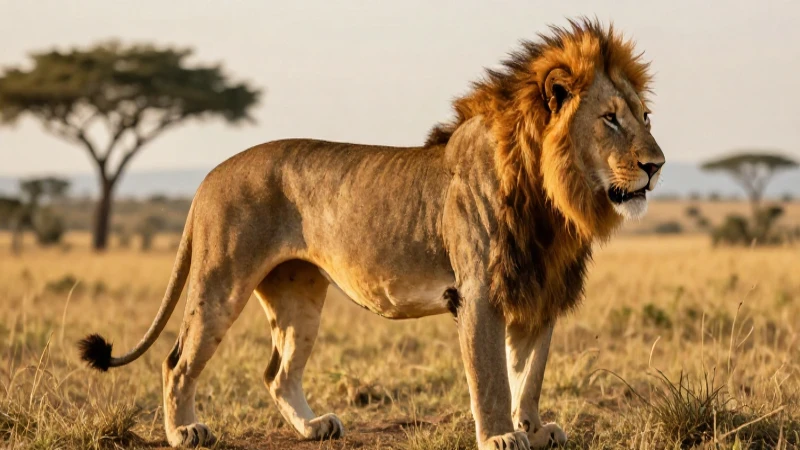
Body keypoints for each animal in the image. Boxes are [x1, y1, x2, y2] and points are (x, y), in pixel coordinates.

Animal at [78, 18, 664, 449]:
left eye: (645, 115)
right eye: (610, 118)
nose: (656, 165)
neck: (554, 201)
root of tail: (207, 176)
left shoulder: (538, 292)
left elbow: (529, 375)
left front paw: (535, 430)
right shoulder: (479, 292)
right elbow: (493, 378)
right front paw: (500, 437)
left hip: (299, 296)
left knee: (277, 373)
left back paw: (314, 427)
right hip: (220, 283)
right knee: (177, 361)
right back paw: (185, 431)